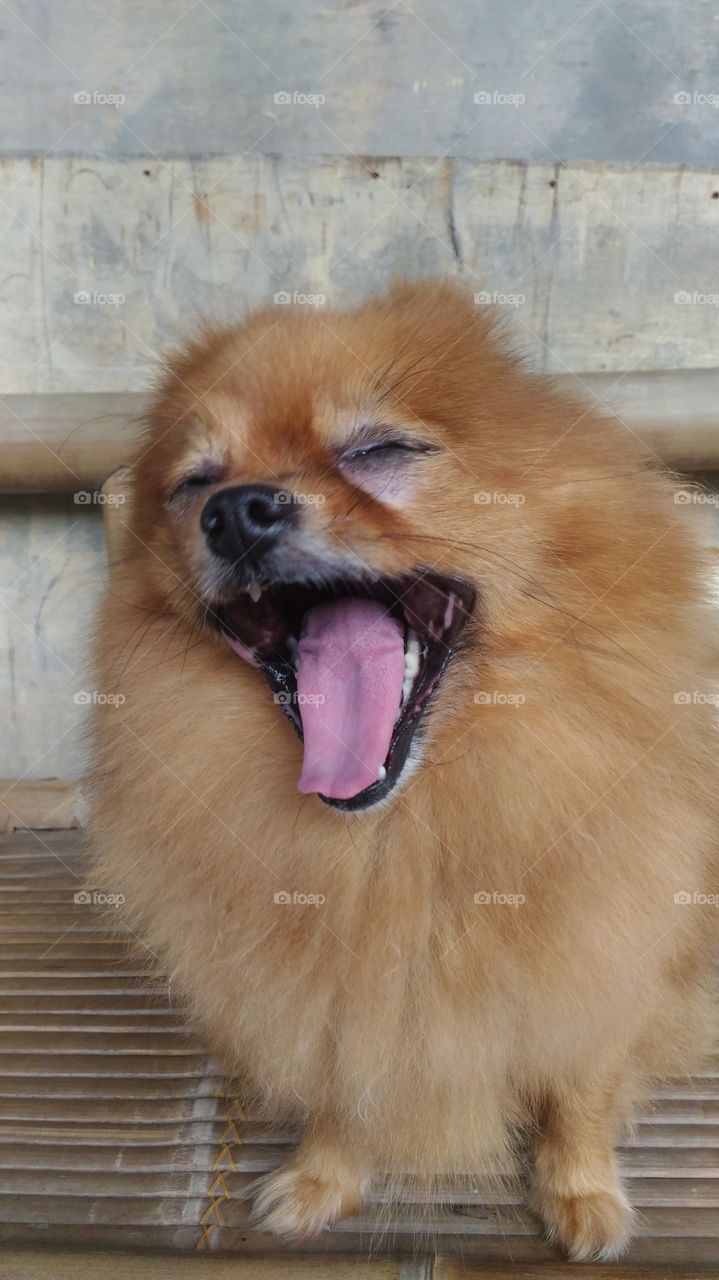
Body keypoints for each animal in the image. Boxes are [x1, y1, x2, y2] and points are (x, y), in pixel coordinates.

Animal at [86, 282, 711, 1259]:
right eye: (194, 485)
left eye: (378, 450)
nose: (237, 510)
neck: (399, 831)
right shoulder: (335, 994)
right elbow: (345, 1079)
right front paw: (323, 1176)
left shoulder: (606, 960)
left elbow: (579, 1088)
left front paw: (580, 1190)